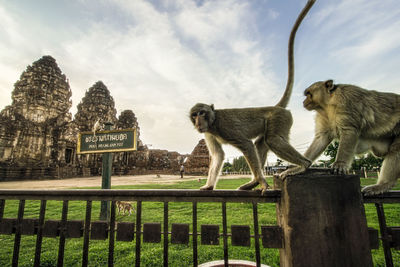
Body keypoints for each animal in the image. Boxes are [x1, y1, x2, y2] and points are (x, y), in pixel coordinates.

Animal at [188, 0, 316, 194]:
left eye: (202, 113)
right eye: (194, 115)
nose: (198, 121)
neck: (214, 121)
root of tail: (275, 107)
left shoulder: (225, 127)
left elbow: (247, 145)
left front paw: (263, 182)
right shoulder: (208, 133)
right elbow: (218, 155)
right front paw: (209, 185)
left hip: (280, 119)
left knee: (271, 141)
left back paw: (301, 166)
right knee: (262, 143)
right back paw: (253, 182)